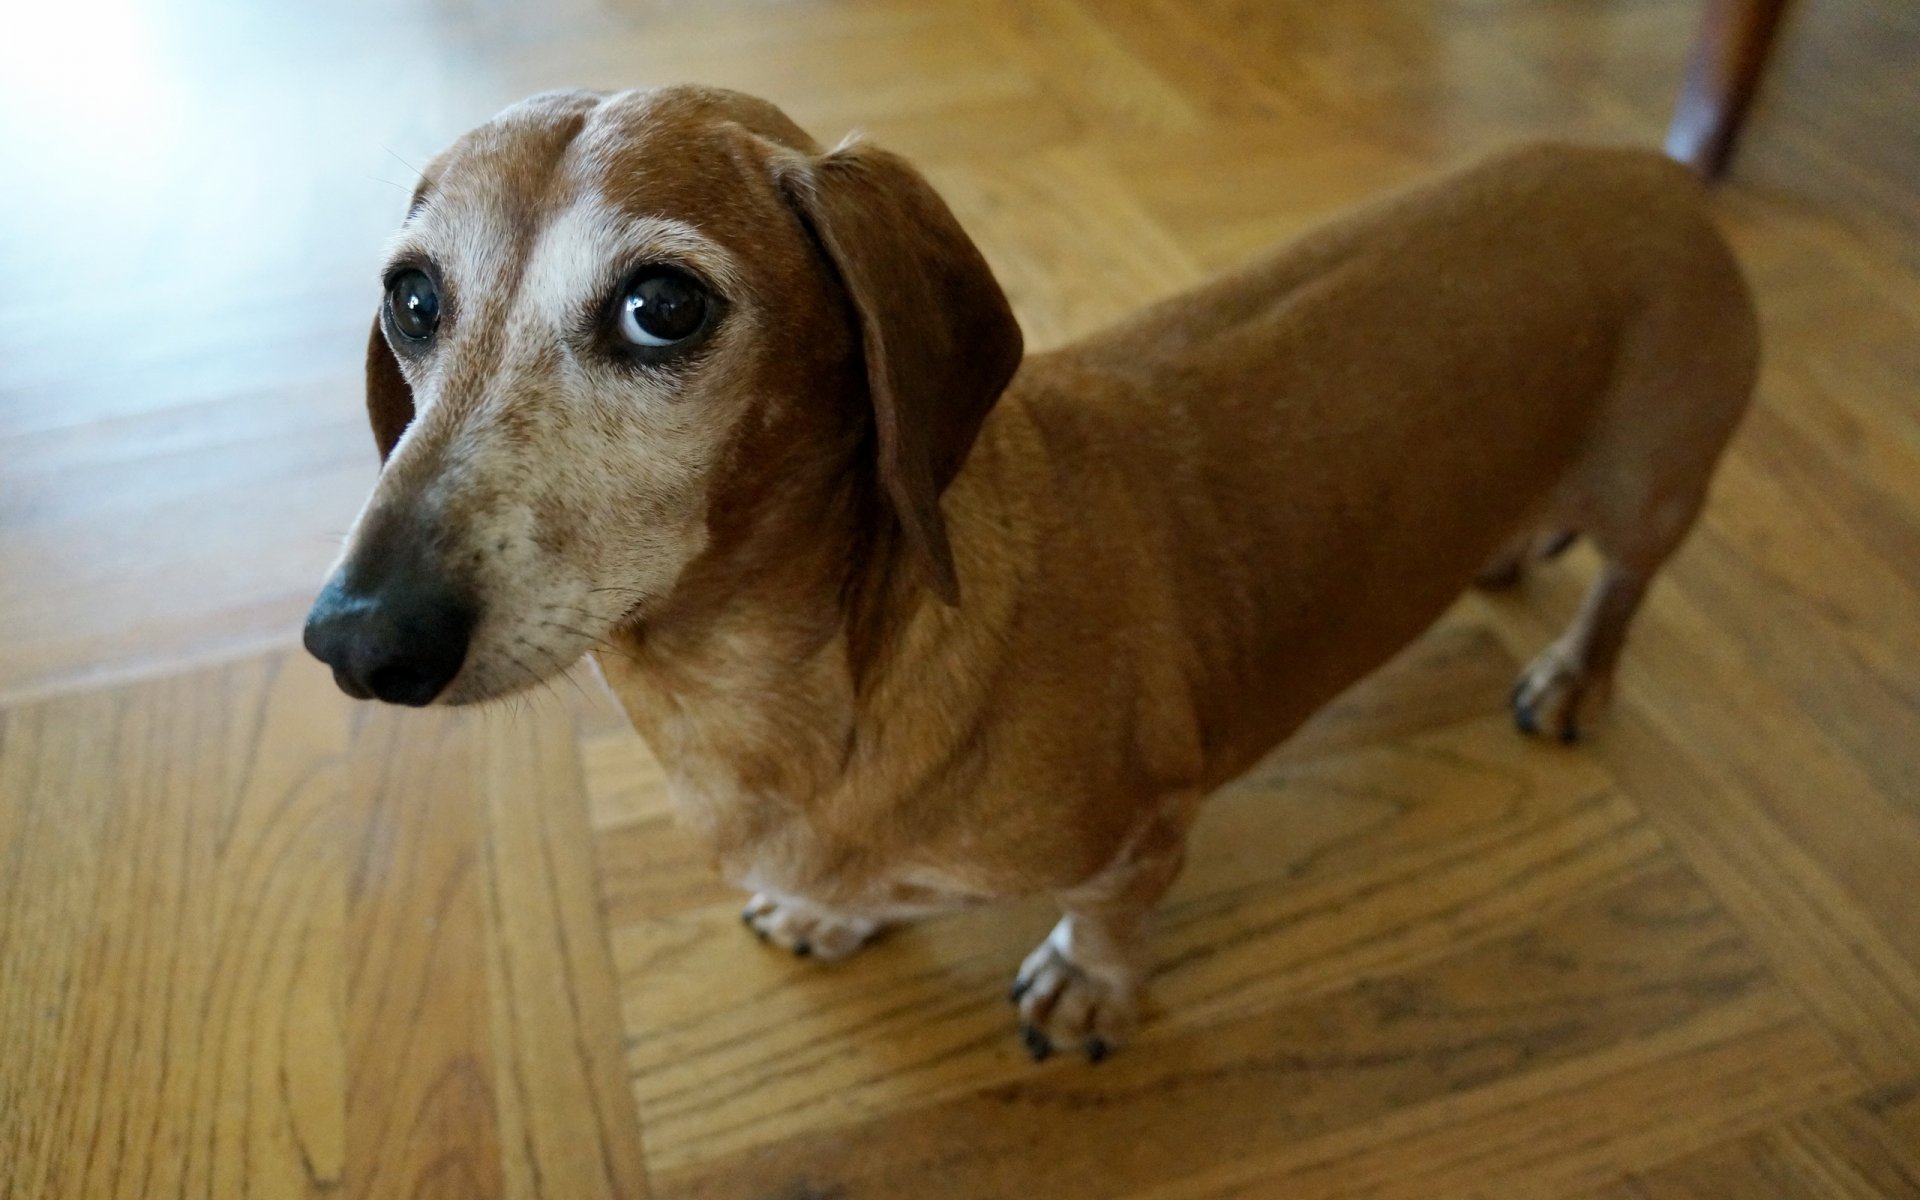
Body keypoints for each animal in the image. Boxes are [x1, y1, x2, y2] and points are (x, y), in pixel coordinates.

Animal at [299, 84, 1758, 1059]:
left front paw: (1088, 985)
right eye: (414, 300)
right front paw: (829, 914)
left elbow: (1113, 918)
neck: (799, 695)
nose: (357, 640)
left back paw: (1573, 677)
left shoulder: (1149, 826)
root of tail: (1650, 170)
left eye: (664, 305)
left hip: (1658, 489)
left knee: (1627, 586)